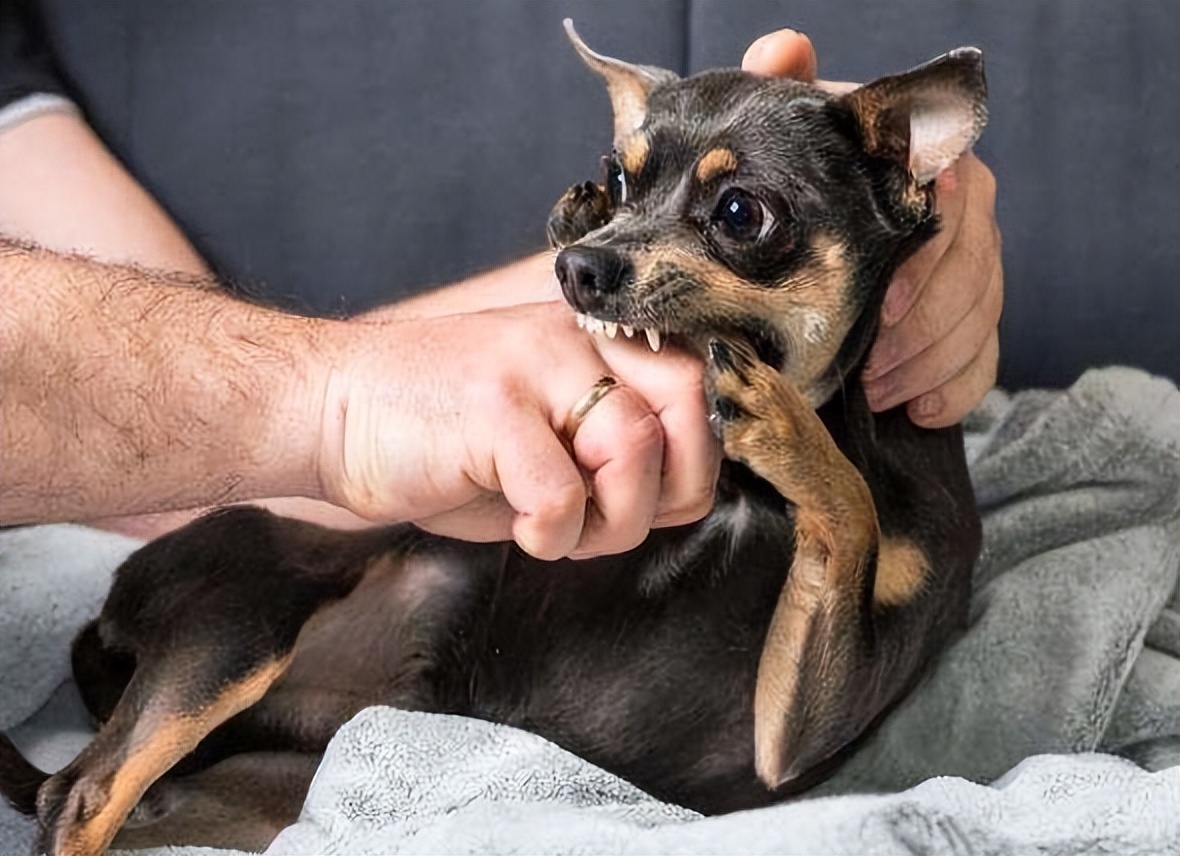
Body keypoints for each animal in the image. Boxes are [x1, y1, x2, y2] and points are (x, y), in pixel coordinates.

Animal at [2, 23, 986, 850]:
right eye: (619, 180)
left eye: (744, 213)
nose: (581, 264)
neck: (749, 496)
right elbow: (849, 504)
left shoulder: (790, 736)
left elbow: (850, 511)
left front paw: (777, 419)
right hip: (246, 619)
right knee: (82, 792)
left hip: (275, 784)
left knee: (111, 798)